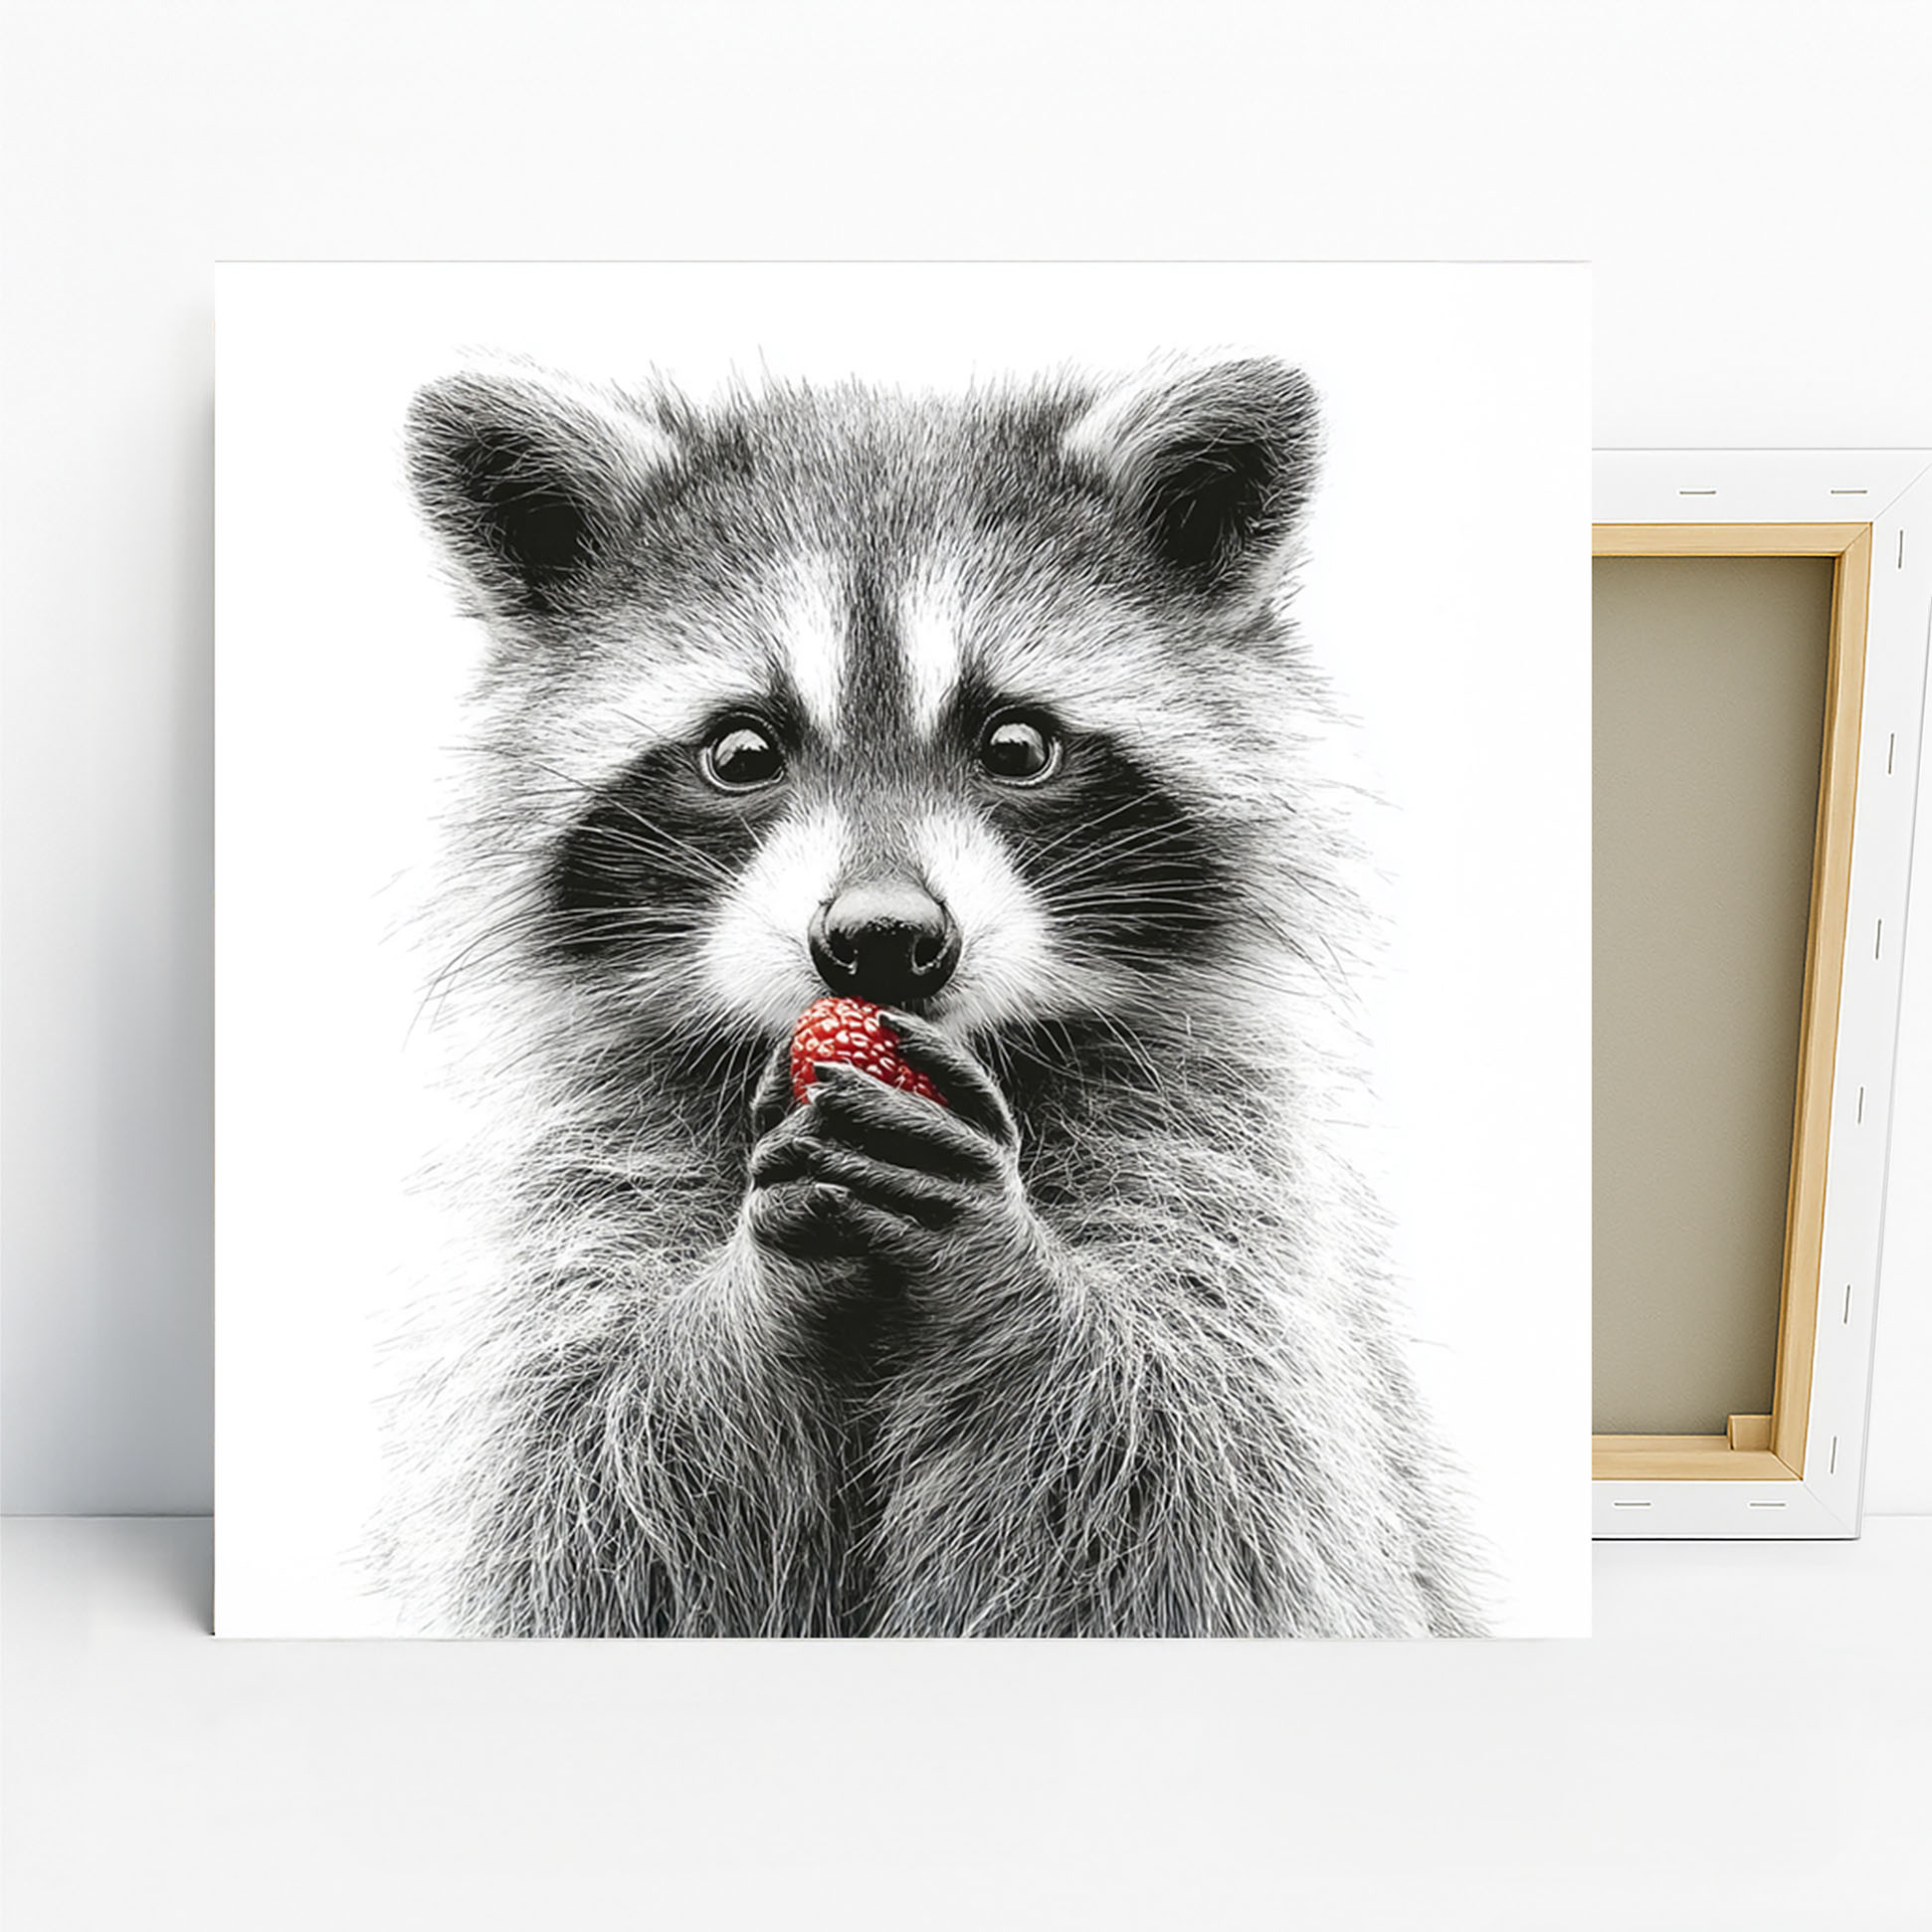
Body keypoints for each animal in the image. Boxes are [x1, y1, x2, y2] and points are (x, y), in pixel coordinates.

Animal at [383, 352, 1487, 1638]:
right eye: (741, 752)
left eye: (1015, 744)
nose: (881, 939)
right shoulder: (576, 1179)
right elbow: (584, 1507)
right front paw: (754, 1287)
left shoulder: (1222, 1171)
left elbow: (1193, 1497)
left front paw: (1003, 1267)